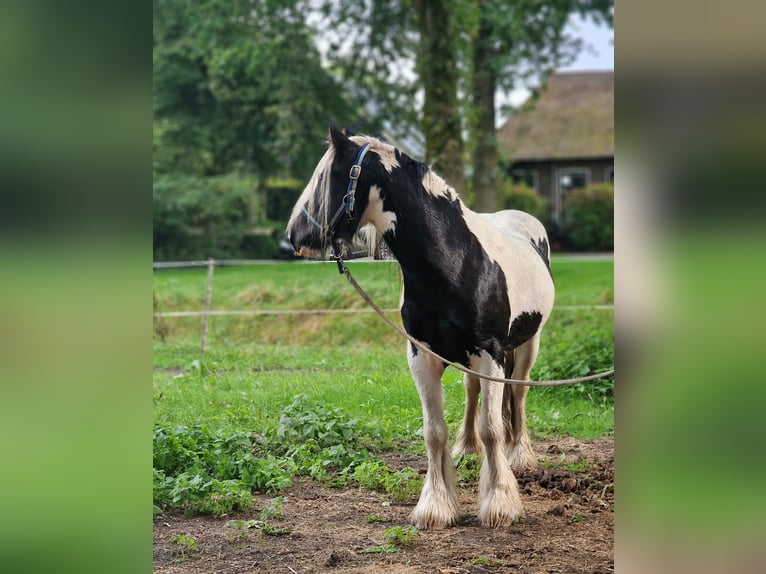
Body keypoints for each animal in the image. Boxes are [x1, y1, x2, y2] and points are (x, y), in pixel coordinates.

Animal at [284, 127, 556, 532]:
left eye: (324, 177)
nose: (294, 234)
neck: (456, 261)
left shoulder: (491, 354)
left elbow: (493, 429)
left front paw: (499, 504)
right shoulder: (422, 357)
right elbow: (433, 432)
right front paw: (436, 506)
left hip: (526, 346)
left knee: (518, 395)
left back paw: (520, 455)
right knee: (472, 392)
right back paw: (466, 448)